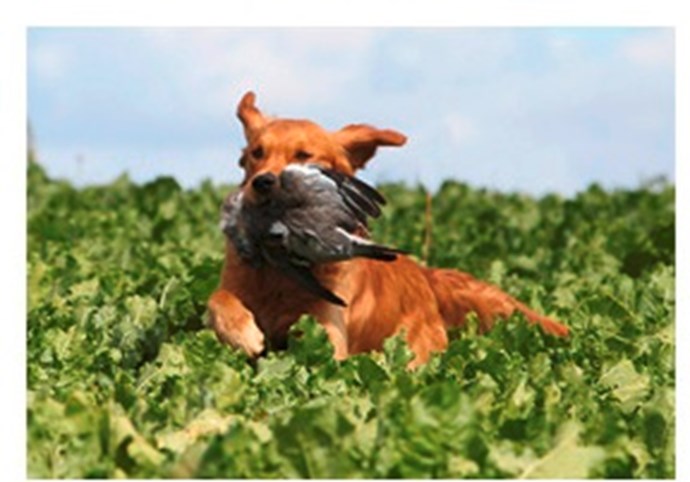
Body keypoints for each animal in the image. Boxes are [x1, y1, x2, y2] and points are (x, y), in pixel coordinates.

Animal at [208, 92, 569, 367]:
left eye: (304, 155)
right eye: (256, 153)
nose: (263, 182)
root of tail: (425, 274)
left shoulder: (328, 327)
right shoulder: (236, 282)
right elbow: (218, 298)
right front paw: (244, 332)